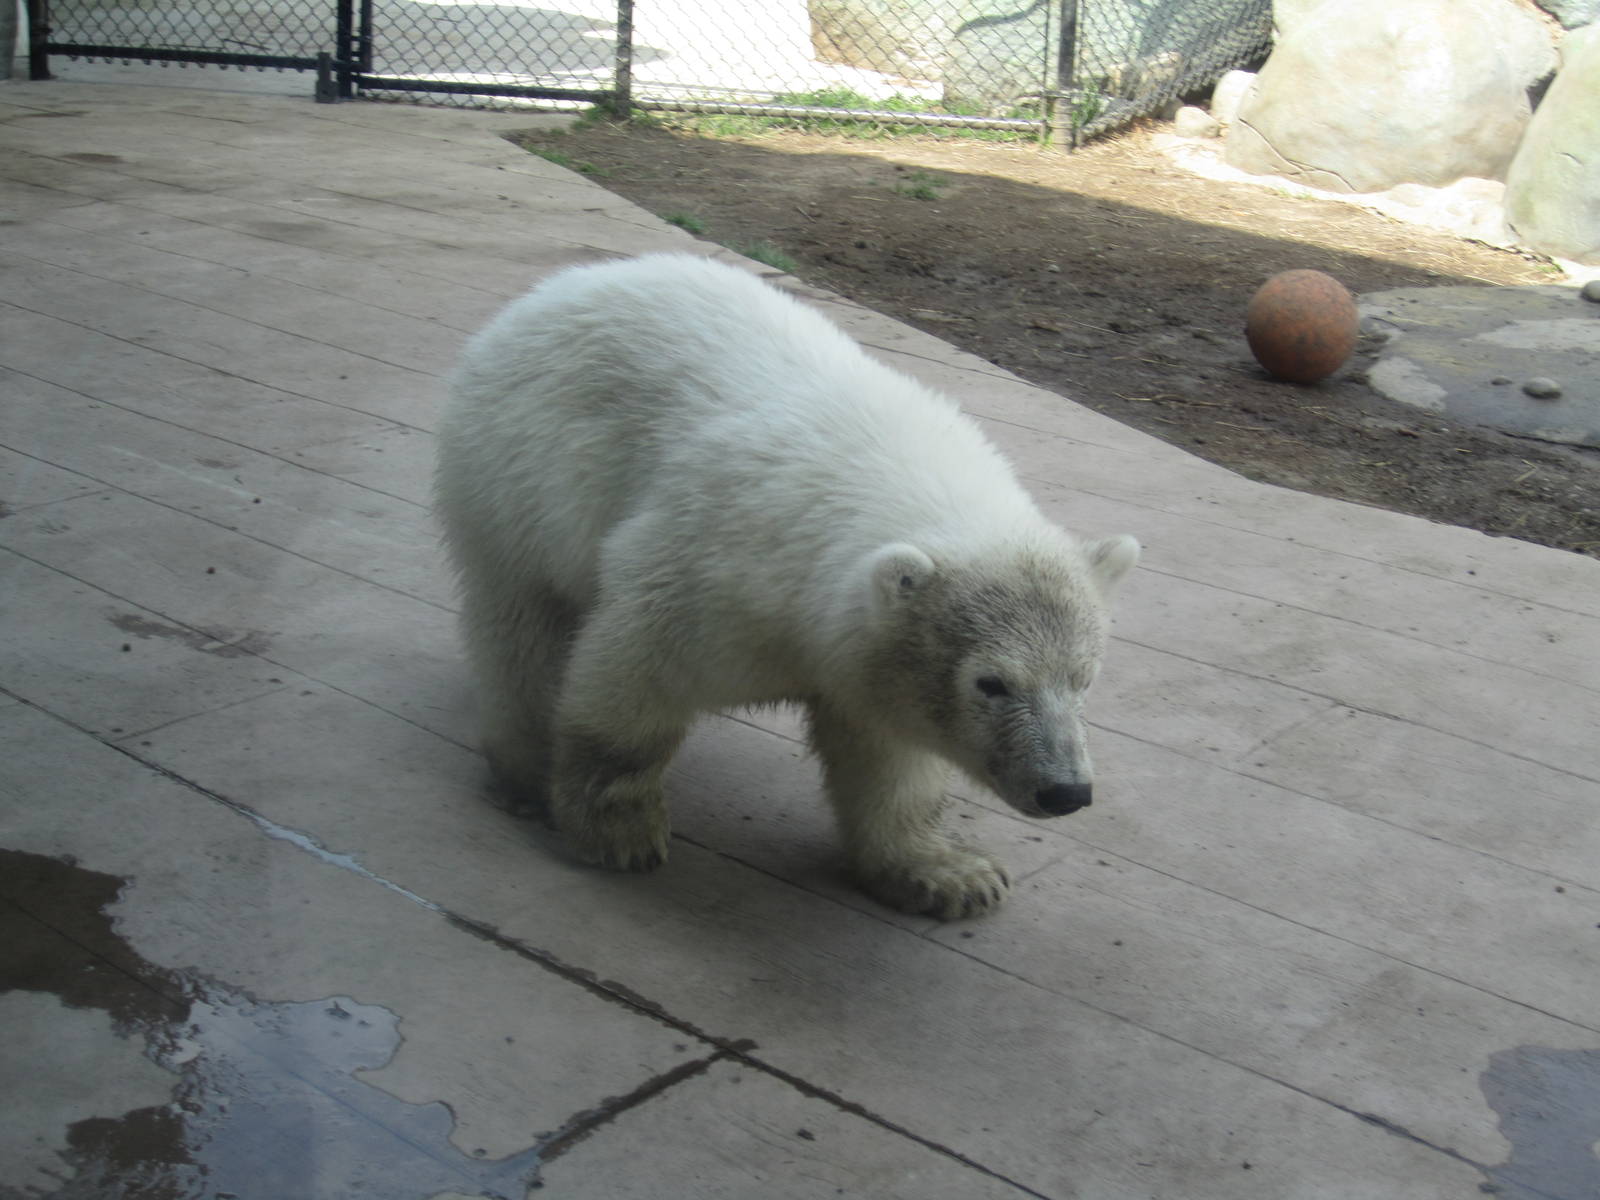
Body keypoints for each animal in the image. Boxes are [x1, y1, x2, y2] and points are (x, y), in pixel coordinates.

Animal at [434, 253, 1139, 920]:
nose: (1066, 791)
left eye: (1084, 678)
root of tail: (556, 289)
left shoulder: (859, 649)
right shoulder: (712, 568)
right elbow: (636, 678)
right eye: (992, 683)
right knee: (523, 626)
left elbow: (889, 755)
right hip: (517, 476)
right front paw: (619, 832)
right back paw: (526, 771)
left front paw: (951, 876)